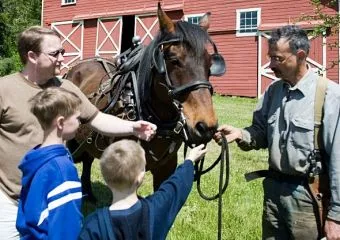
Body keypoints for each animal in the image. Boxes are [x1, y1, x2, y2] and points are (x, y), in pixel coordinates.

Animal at [65, 3, 227, 202]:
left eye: (210, 63)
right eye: (174, 60)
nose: (206, 127)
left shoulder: (166, 168)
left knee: (87, 159)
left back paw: (88, 193)